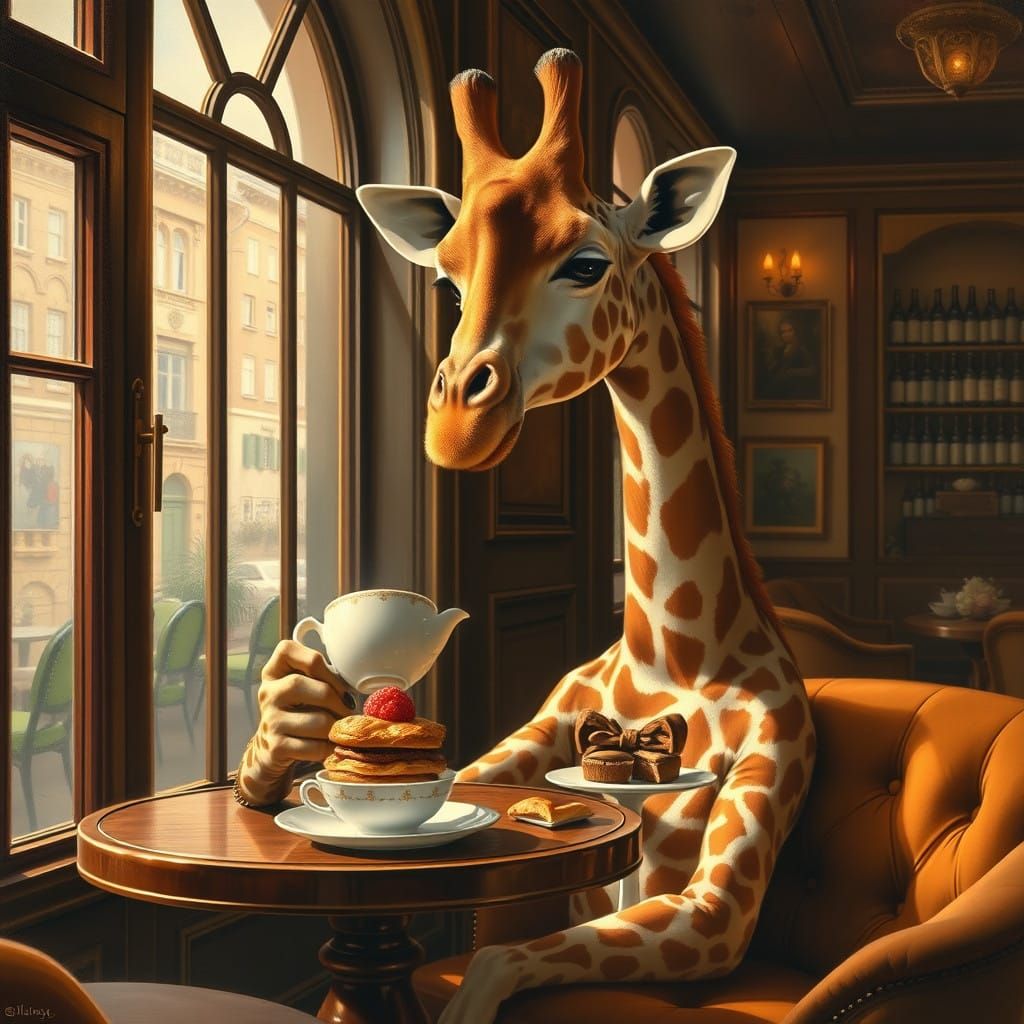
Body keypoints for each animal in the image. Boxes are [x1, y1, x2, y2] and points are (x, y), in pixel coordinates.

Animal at [356, 47, 815, 1024]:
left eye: (588, 263)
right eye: (447, 279)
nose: (457, 425)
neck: (676, 650)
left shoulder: (719, 899)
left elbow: (493, 960)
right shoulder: (524, 743)